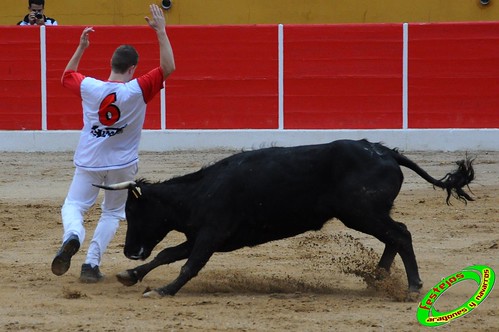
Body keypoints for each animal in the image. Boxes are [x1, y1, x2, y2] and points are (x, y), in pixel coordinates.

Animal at [95, 139, 474, 300]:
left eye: (134, 211)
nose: (129, 251)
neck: (201, 191)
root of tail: (386, 151)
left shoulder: (211, 235)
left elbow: (189, 264)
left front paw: (162, 290)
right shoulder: (204, 236)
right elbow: (168, 254)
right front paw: (130, 275)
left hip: (361, 213)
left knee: (401, 234)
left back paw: (411, 286)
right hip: (366, 214)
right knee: (395, 236)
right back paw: (378, 279)